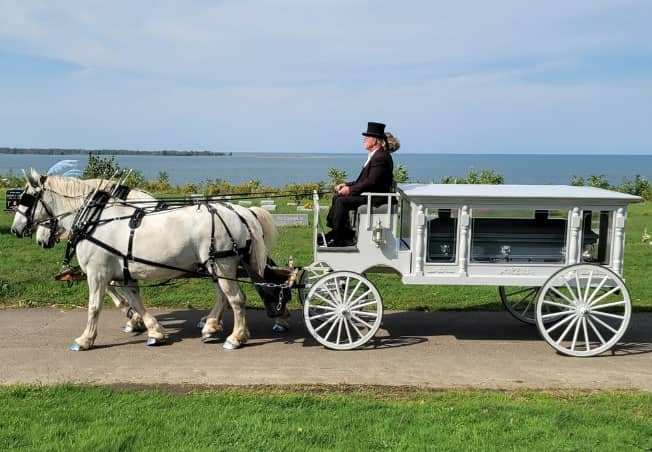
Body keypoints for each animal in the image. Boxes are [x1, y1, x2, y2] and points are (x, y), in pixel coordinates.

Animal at [10, 170, 276, 350]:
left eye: (25, 199)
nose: (15, 229)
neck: (95, 219)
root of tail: (238, 211)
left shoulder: (97, 274)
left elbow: (94, 307)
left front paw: (85, 339)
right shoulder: (124, 273)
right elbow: (135, 302)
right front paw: (153, 330)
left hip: (222, 264)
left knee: (236, 299)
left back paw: (236, 337)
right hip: (216, 266)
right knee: (224, 296)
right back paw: (212, 326)